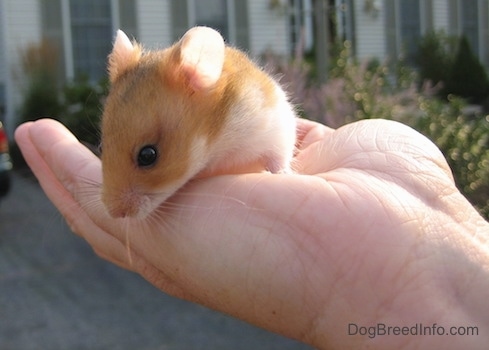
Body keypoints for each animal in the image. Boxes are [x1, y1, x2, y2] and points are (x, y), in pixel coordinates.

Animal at [101, 26, 296, 219]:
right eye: (102, 146)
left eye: (148, 155)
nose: (115, 214)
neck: (217, 139)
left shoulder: (275, 126)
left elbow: (278, 157)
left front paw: (285, 174)